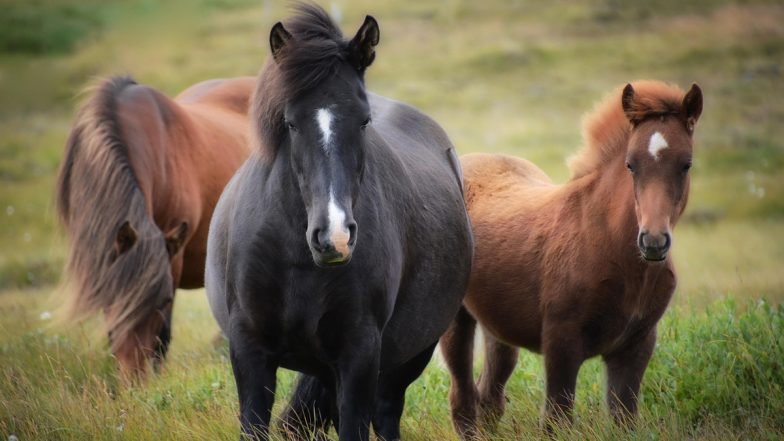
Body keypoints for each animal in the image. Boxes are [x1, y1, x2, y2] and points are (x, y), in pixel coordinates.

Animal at [205, 5, 473, 441]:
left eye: (363, 121)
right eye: (290, 123)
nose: (334, 237)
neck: (297, 259)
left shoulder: (359, 355)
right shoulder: (249, 350)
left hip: (408, 357)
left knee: (386, 413)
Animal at [440, 81, 702, 437]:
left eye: (686, 164)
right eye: (630, 164)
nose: (653, 242)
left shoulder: (636, 345)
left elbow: (624, 419)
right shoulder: (561, 342)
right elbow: (556, 419)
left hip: (498, 325)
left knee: (489, 395)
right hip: (455, 319)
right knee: (463, 399)